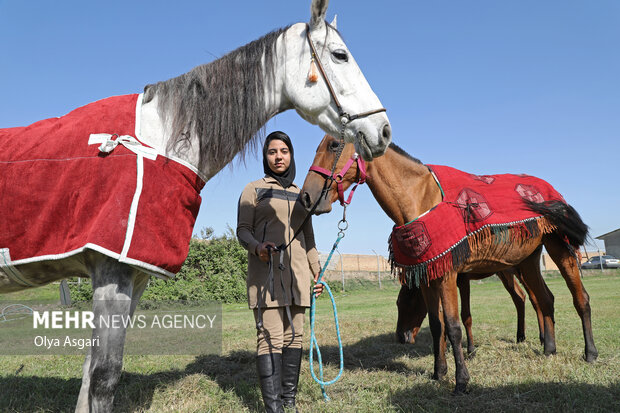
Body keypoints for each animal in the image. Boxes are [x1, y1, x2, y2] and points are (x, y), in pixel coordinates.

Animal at [0, 1, 390, 410]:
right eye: (340, 55)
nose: (383, 130)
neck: (154, 144)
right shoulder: (111, 271)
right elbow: (104, 377)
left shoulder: (134, 276)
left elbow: (89, 372)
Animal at [302, 134, 600, 392]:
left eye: (334, 144)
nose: (306, 196)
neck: (421, 199)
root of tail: (552, 194)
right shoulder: (428, 277)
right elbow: (437, 326)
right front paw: (438, 372)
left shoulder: (450, 275)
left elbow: (455, 326)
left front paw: (461, 381)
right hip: (527, 260)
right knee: (544, 299)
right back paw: (549, 350)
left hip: (559, 248)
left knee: (581, 299)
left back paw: (590, 353)